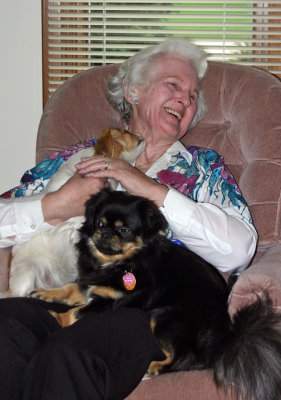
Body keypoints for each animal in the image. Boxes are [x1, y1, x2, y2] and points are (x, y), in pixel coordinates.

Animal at [31, 191, 281, 400]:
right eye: (98, 223)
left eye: (124, 230)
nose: (104, 233)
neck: (118, 264)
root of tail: (226, 336)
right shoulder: (91, 285)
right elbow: (71, 288)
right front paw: (44, 293)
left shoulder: (112, 302)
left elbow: (76, 312)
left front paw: (58, 318)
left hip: (160, 317)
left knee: (188, 358)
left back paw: (156, 367)